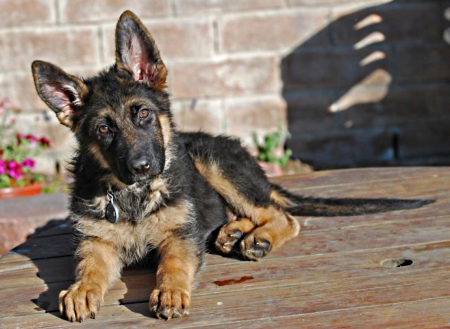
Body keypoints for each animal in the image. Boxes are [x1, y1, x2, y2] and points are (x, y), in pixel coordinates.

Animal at [31, 9, 432, 320]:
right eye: (103, 129)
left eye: (143, 114)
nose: (142, 167)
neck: (134, 196)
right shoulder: (95, 241)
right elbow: (90, 266)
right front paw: (82, 289)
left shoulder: (180, 235)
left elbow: (173, 264)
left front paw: (171, 291)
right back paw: (233, 232)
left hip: (215, 164)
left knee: (283, 216)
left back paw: (258, 238)